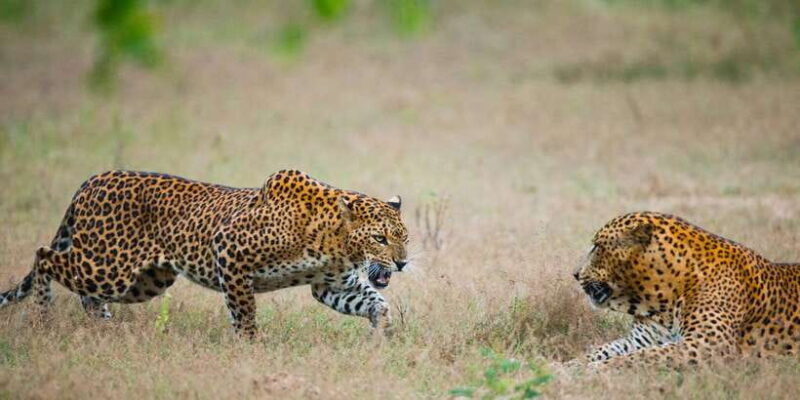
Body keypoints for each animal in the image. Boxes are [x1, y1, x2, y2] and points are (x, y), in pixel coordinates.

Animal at [0, 169, 409, 338]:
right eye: (379, 239)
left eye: (404, 237)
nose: (402, 263)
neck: (336, 242)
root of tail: (92, 180)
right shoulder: (230, 251)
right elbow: (243, 311)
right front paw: (249, 349)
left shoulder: (331, 286)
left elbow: (373, 302)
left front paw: (382, 333)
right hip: (108, 265)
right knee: (43, 257)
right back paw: (43, 317)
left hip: (144, 281)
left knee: (87, 295)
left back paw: (103, 327)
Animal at [573, 211, 800, 368]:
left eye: (597, 247)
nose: (575, 274)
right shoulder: (641, 339)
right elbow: (602, 349)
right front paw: (571, 366)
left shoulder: (708, 344)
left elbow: (640, 358)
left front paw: (592, 370)